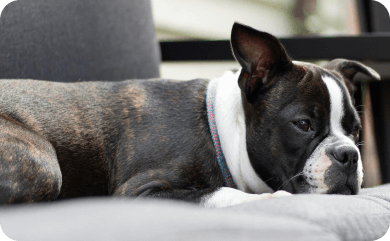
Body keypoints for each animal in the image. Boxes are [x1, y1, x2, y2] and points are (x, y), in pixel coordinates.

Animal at [0, 22, 380, 207]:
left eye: (355, 131)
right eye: (303, 125)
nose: (348, 154)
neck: (218, 132)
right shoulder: (140, 191)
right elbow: (218, 192)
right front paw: (271, 198)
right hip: (42, 164)